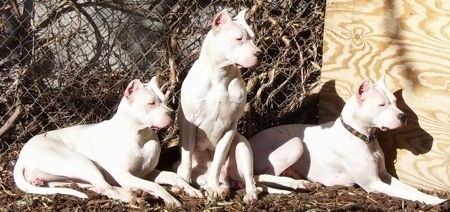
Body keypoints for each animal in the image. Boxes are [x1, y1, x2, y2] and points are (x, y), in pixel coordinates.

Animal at [12, 77, 202, 206]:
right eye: (151, 103)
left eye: (165, 101)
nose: (172, 113)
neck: (141, 136)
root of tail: (21, 157)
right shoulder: (124, 174)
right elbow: (156, 186)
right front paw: (170, 198)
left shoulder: (147, 173)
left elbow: (173, 176)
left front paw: (191, 190)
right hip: (81, 162)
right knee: (107, 188)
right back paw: (134, 197)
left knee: (98, 187)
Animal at [250, 76, 446, 205]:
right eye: (381, 104)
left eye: (395, 102)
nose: (403, 116)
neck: (364, 136)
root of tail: (251, 140)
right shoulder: (373, 183)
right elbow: (403, 192)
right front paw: (433, 200)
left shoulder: (384, 175)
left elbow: (409, 189)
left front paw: (432, 196)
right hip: (296, 143)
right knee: (262, 175)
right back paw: (297, 183)